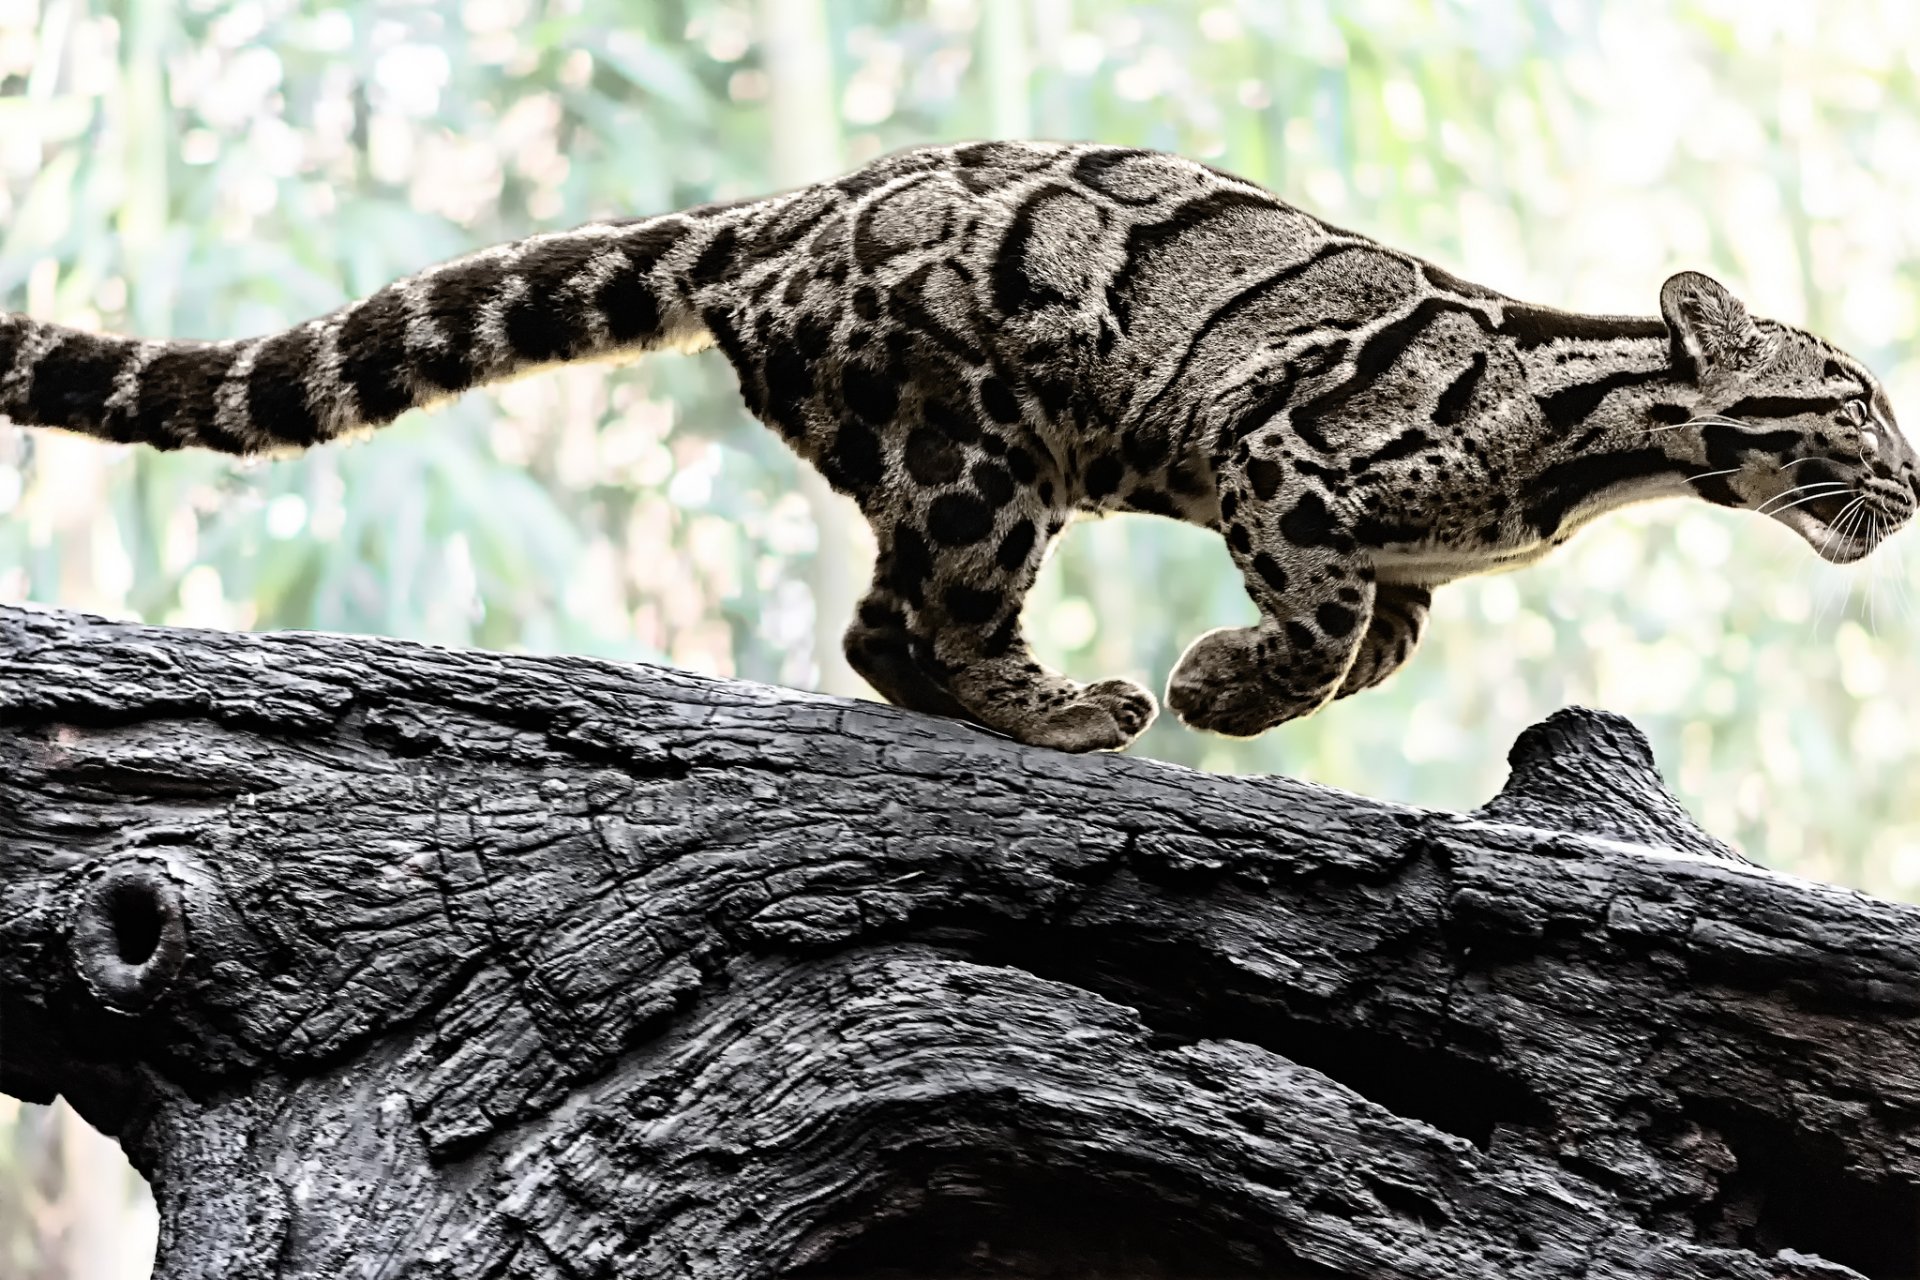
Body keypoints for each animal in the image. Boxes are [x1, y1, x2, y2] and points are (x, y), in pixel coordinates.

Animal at [2, 141, 1913, 752]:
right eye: (1859, 405)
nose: (1911, 491)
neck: (1587, 440)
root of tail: (784, 209)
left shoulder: (1399, 557)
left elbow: (1377, 637)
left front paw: (1268, 684)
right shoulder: (1279, 455)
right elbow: (1317, 624)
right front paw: (1225, 687)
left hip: (960, 458)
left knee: (878, 623)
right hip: (986, 447)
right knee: (918, 614)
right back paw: (1059, 709)